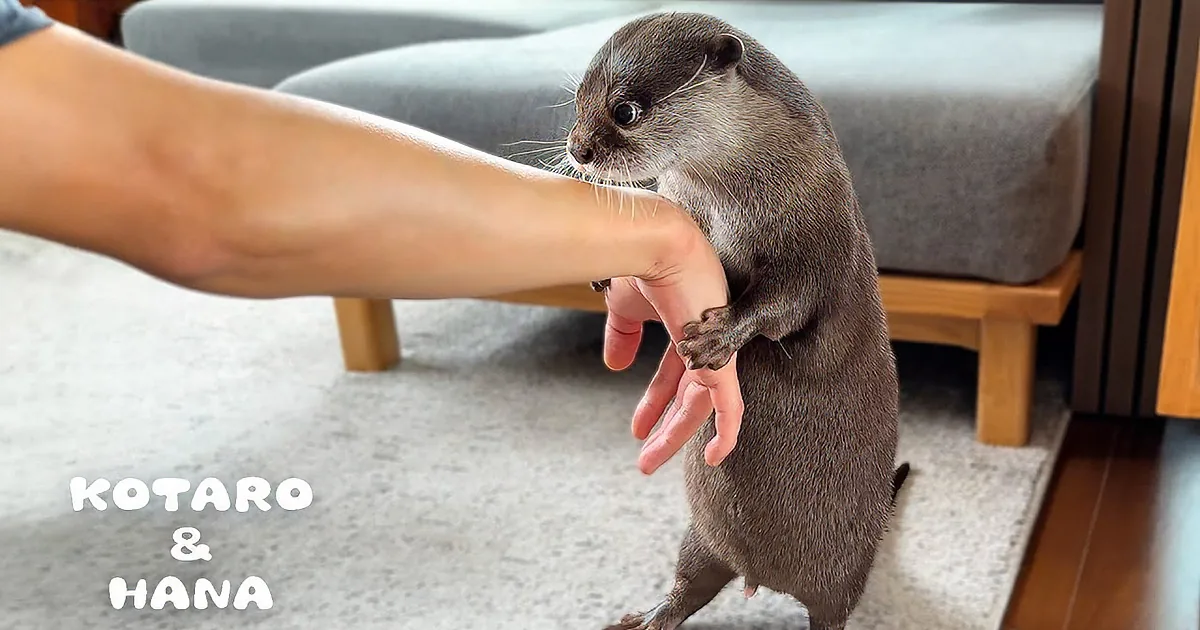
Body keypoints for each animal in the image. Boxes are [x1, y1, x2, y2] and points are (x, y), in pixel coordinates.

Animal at [564, 12, 909, 630]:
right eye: (577, 100)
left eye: (626, 110)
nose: (577, 149)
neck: (744, 190)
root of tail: (764, 575)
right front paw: (618, 272)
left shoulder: (815, 239)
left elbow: (785, 302)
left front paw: (717, 335)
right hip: (702, 537)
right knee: (689, 584)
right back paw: (645, 618)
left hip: (846, 573)